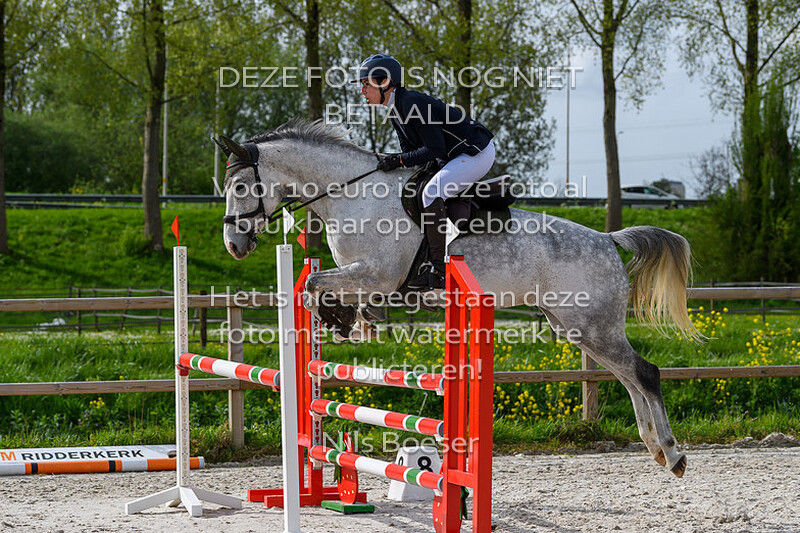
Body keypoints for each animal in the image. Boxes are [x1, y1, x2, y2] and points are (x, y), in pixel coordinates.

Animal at [217, 118, 699, 478]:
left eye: (240, 188)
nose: (234, 246)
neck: (352, 194)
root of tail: (608, 239)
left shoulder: (377, 275)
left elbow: (316, 285)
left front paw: (342, 318)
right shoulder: (366, 278)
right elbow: (322, 287)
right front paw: (350, 320)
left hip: (592, 325)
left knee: (644, 373)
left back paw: (673, 453)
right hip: (578, 327)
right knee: (628, 377)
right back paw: (656, 448)